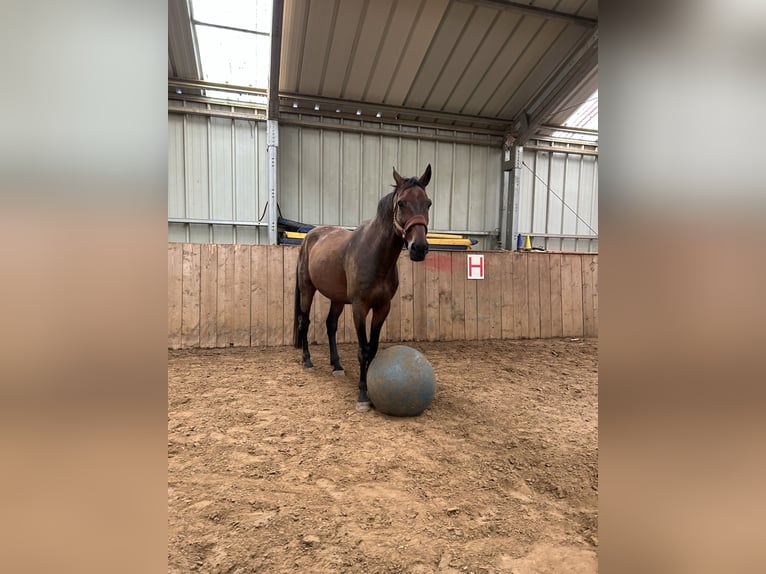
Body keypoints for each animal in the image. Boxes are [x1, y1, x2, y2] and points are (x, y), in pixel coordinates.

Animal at [296, 164, 436, 412]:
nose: (418, 248)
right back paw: (307, 360)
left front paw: (369, 386)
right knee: (305, 321)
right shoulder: (359, 308)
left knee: (330, 325)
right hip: (307, 290)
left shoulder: (382, 307)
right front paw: (362, 394)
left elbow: (373, 346)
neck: (376, 257)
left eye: (427, 203)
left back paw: (337, 366)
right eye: (402, 203)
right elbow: (363, 349)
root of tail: (311, 236)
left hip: (337, 299)